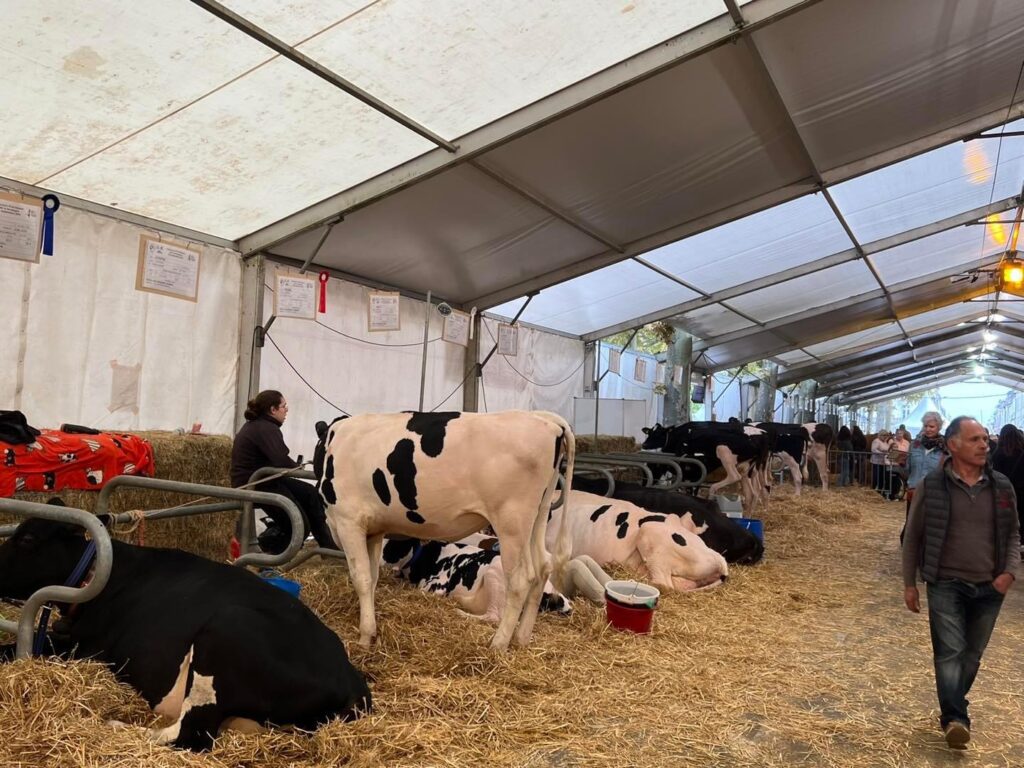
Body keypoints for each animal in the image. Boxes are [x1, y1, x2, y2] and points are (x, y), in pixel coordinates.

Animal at [0, 505, 372, 753]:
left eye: (27, 538)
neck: (100, 577)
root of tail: (351, 677)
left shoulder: (84, 647)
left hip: (225, 632)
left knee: (191, 737)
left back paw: (117, 725)